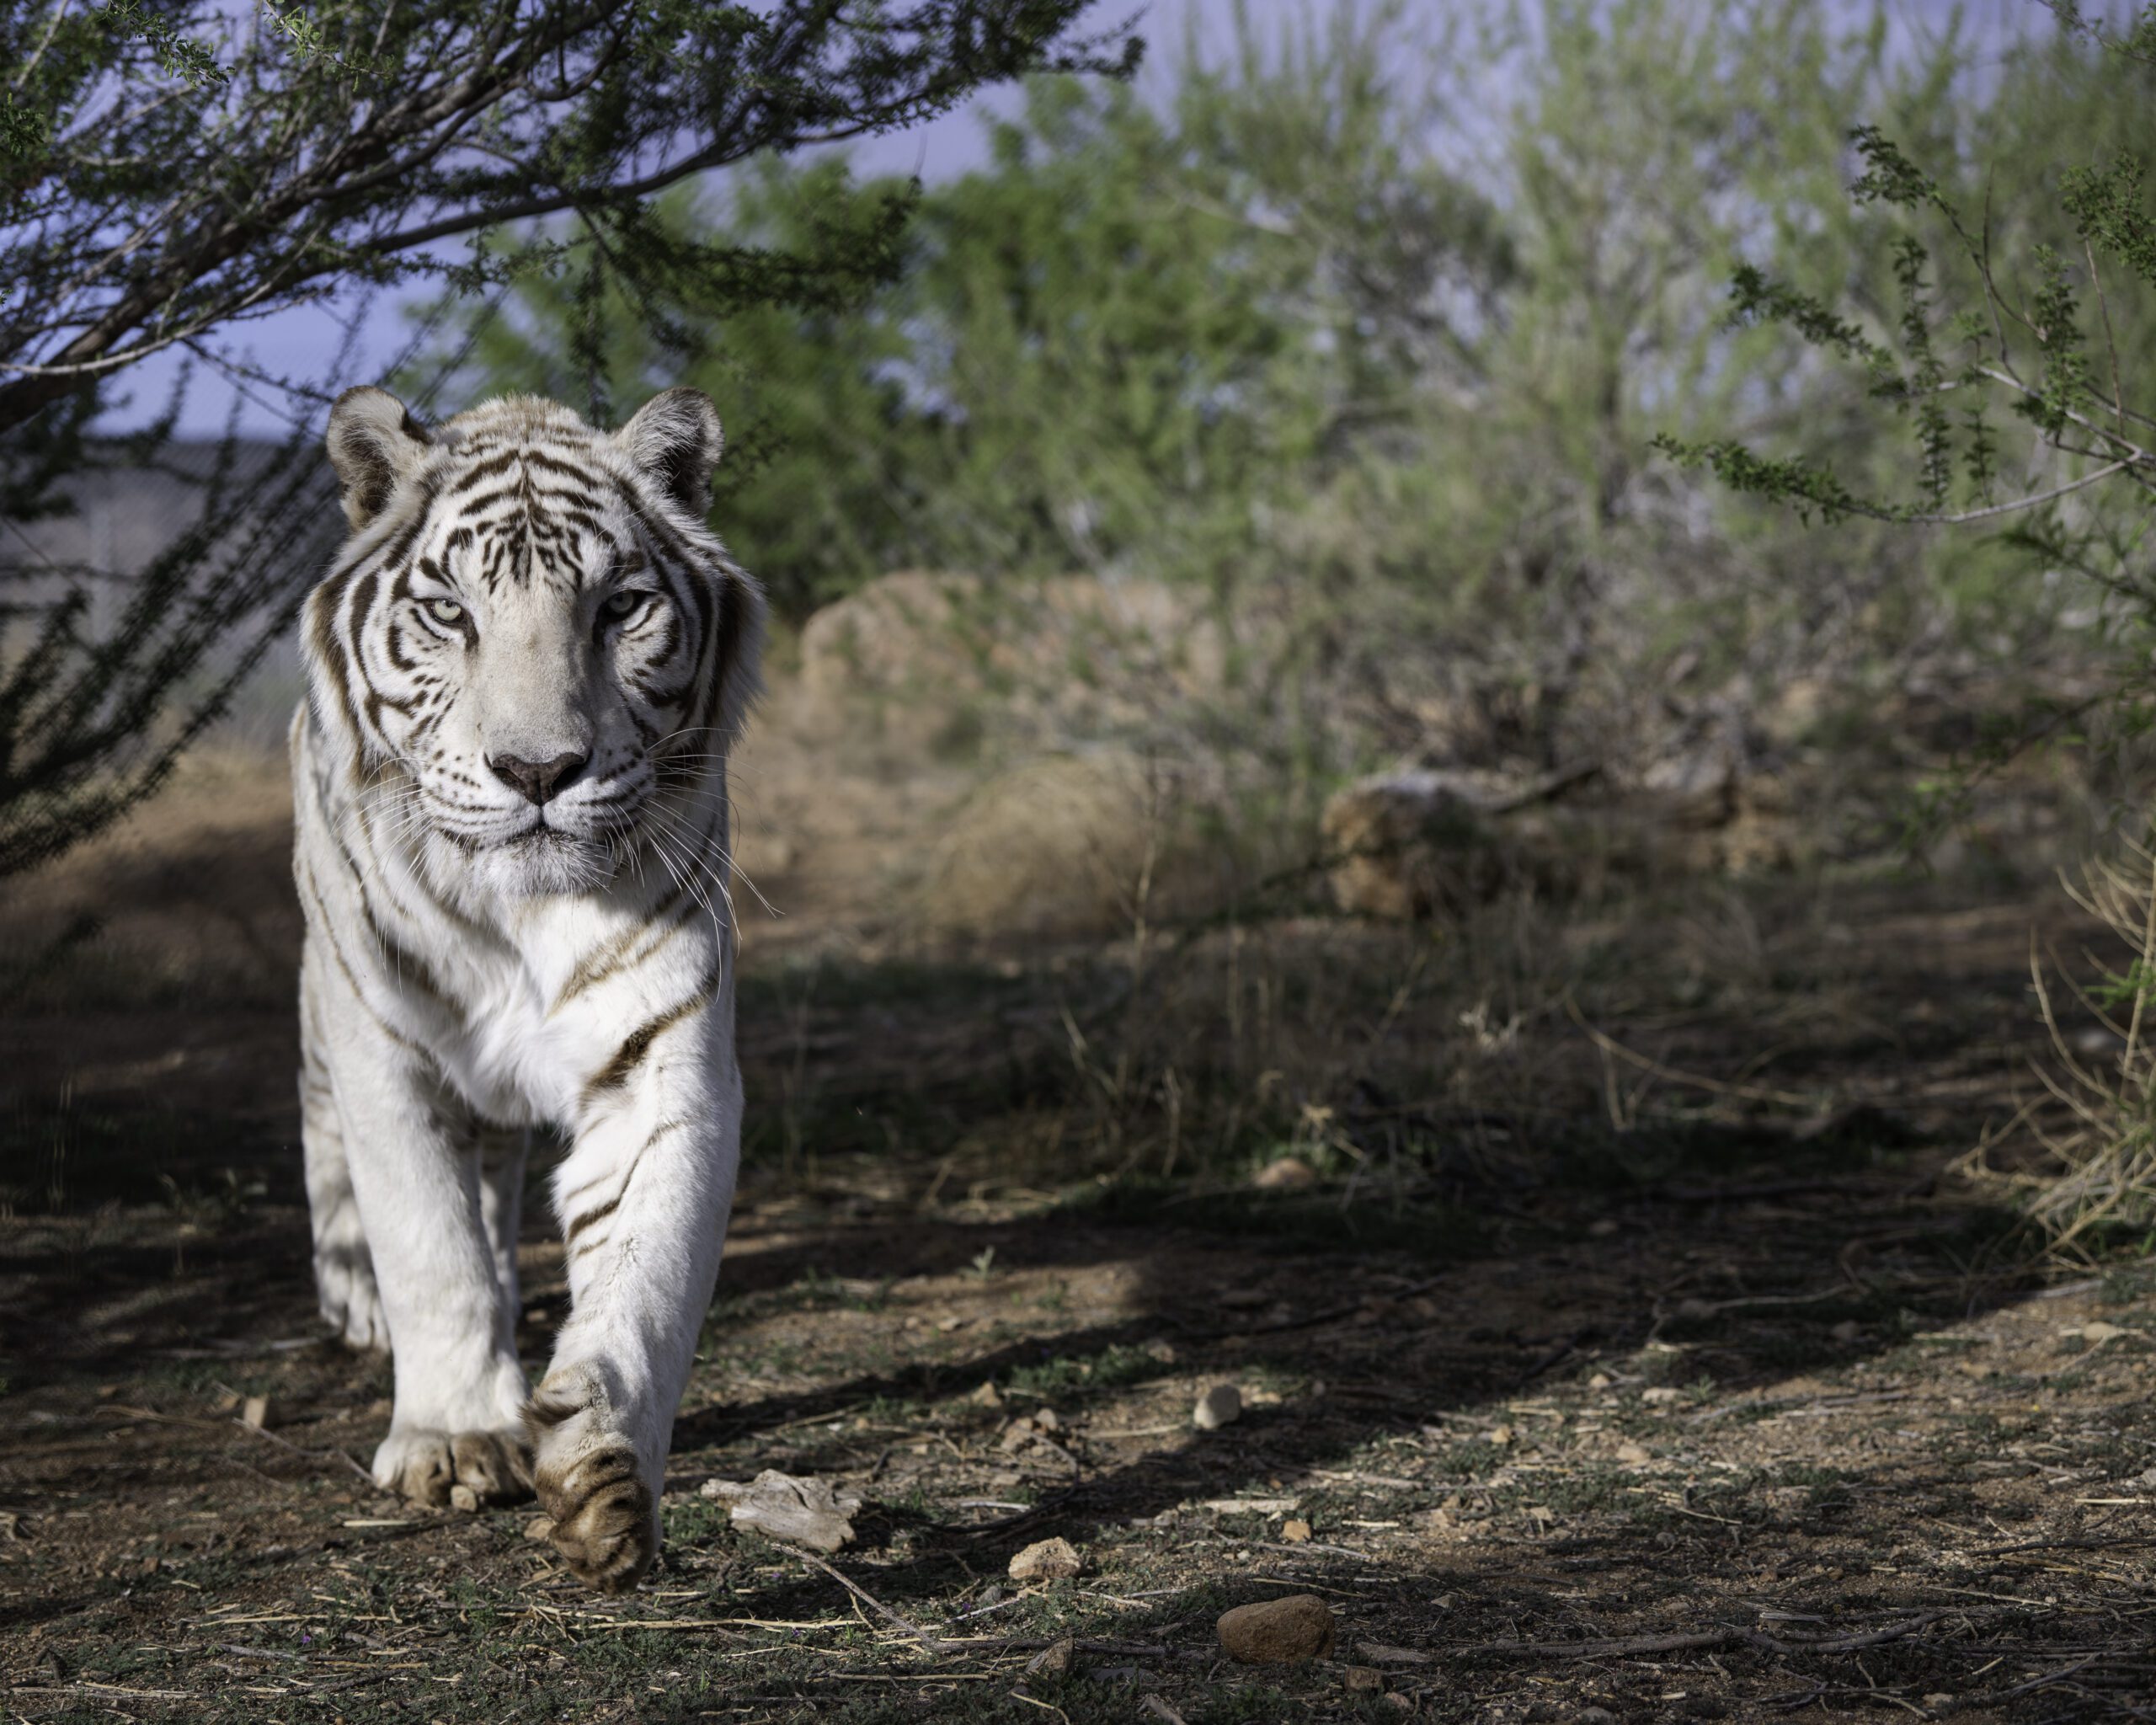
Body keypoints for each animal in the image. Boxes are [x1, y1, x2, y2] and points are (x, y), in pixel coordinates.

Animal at [293, 385, 765, 1593]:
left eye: (619, 609)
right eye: (449, 613)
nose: (541, 771)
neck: (518, 918)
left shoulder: (663, 1065)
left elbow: (646, 1272)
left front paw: (602, 1473)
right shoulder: (385, 1044)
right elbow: (428, 1243)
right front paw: (459, 1438)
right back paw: (354, 1297)